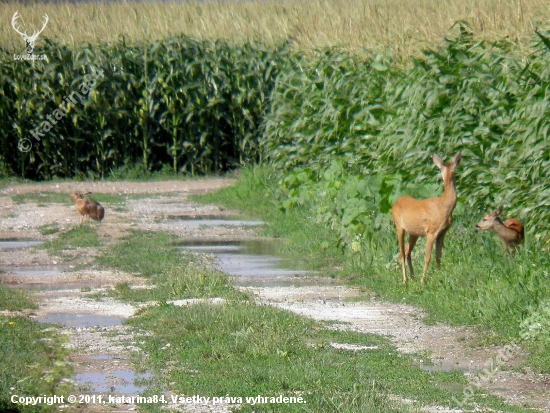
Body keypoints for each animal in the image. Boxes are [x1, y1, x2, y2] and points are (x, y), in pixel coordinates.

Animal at [390, 151, 464, 284]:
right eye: (441, 168)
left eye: (454, 168)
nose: (452, 175)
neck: (443, 206)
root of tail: (396, 202)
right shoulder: (431, 231)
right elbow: (427, 257)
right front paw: (423, 280)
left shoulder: (442, 233)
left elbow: (438, 256)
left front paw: (439, 275)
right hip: (399, 226)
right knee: (402, 253)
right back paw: (405, 280)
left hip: (414, 233)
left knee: (407, 251)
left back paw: (412, 277)